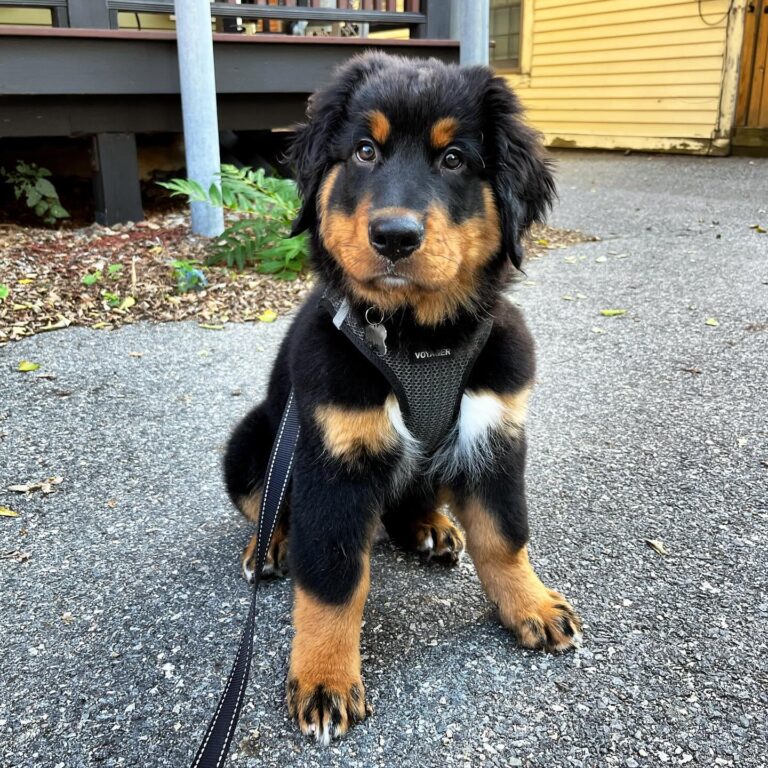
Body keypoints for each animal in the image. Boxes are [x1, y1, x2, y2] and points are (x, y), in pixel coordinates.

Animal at [224, 52, 584, 744]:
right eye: (365, 152)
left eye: (454, 159)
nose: (394, 235)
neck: (419, 339)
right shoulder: (334, 461)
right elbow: (333, 580)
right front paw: (325, 680)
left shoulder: (496, 435)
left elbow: (504, 534)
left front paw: (530, 603)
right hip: (257, 436)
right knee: (265, 506)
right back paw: (268, 546)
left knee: (410, 506)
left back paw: (431, 527)